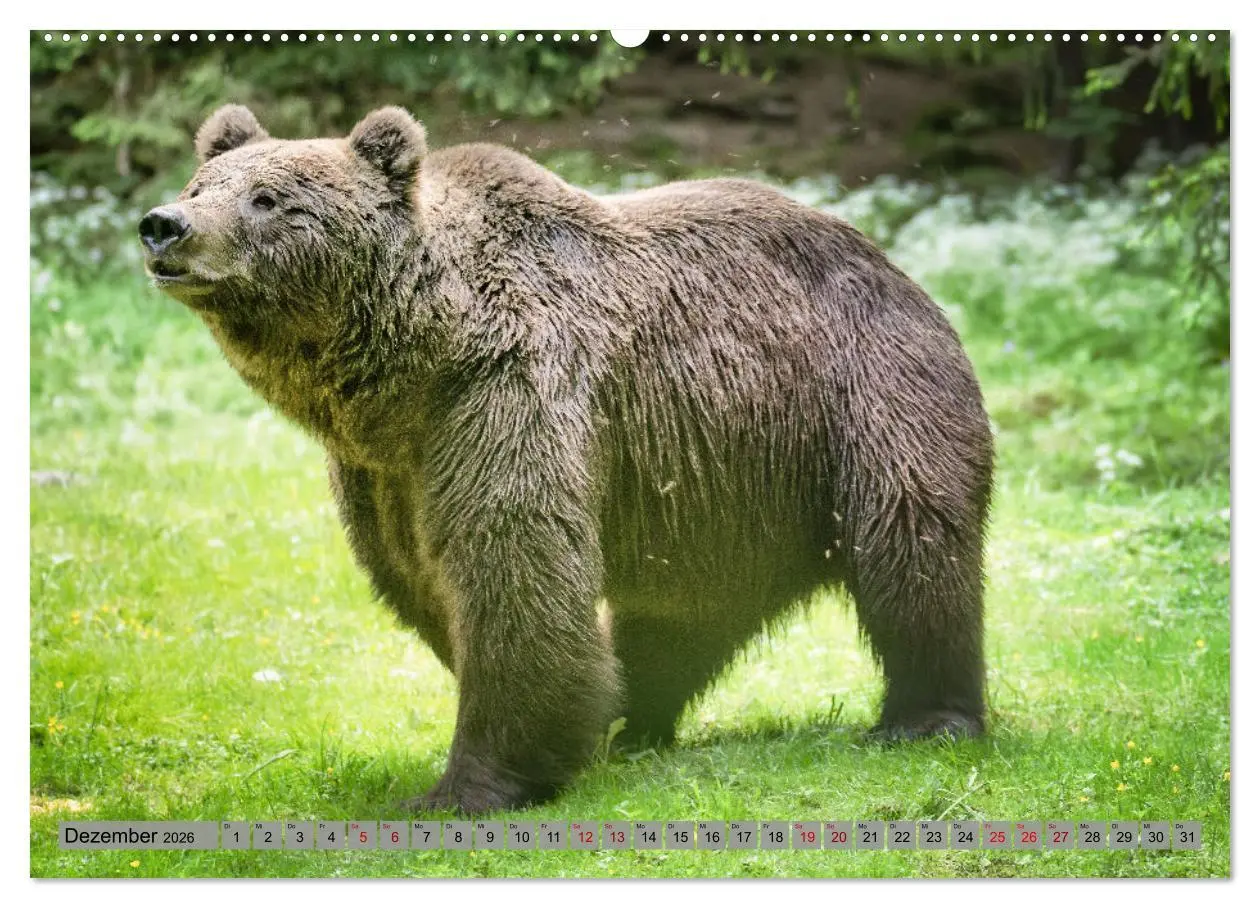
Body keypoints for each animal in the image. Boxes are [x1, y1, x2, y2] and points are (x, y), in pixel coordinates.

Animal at [139, 105, 994, 814]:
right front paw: (565, 725)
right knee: (684, 615)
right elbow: (419, 577)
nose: (163, 225)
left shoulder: (507, 390)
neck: (414, 364)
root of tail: (899, 268)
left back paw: (927, 718)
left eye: (267, 198)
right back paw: (634, 722)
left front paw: (468, 786)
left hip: (863, 397)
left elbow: (512, 562)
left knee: (912, 552)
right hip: (728, 485)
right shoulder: (386, 470)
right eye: (201, 182)